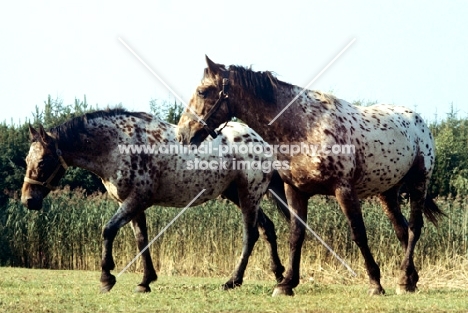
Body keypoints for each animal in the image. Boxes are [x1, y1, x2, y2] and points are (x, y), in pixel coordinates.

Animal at [22, 108, 288, 292]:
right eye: (26, 160)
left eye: (43, 162)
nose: (28, 200)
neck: (117, 145)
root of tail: (261, 141)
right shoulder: (133, 205)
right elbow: (142, 240)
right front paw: (145, 281)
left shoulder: (135, 200)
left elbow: (108, 230)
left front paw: (106, 277)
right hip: (238, 195)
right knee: (267, 229)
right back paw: (278, 275)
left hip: (249, 194)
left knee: (250, 235)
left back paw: (233, 280)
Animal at [177, 55, 444, 294]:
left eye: (203, 91)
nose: (183, 134)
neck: (305, 128)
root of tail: (417, 120)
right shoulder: (295, 190)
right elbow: (296, 235)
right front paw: (286, 284)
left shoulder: (343, 190)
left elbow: (359, 234)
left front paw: (375, 284)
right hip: (387, 193)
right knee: (402, 230)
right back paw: (410, 279)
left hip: (419, 183)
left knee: (414, 228)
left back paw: (404, 280)